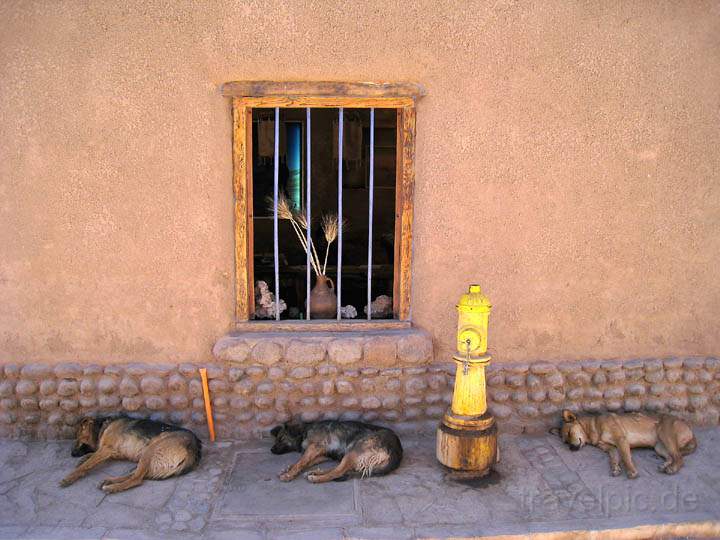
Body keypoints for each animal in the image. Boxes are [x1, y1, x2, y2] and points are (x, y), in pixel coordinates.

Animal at [59, 416, 202, 492]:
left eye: (77, 438)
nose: (71, 454)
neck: (102, 427)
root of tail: (194, 447)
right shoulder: (112, 452)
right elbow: (91, 458)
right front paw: (83, 459)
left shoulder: (107, 449)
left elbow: (88, 464)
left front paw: (69, 477)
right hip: (149, 458)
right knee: (136, 474)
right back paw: (110, 481)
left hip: (149, 451)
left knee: (136, 479)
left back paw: (113, 487)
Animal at [556, 412, 696, 478]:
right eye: (565, 441)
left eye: (569, 433)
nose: (571, 448)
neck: (594, 426)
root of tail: (689, 428)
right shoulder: (611, 448)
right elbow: (614, 459)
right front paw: (615, 468)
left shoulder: (621, 440)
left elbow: (625, 457)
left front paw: (631, 471)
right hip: (659, 447)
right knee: (673, 456)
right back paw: (665, 465)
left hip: (665, 435)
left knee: (679, 457)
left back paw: (672, 468)